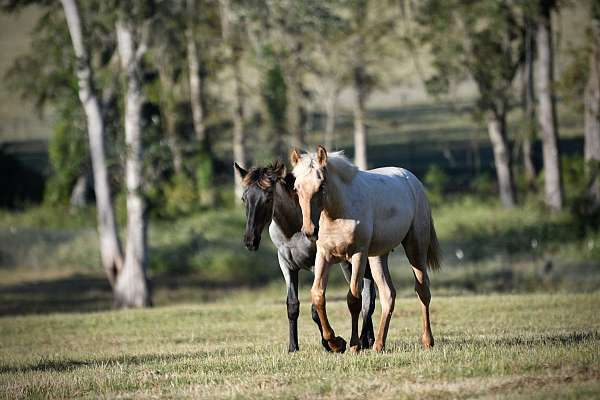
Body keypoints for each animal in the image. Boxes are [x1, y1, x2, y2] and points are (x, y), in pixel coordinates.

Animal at [234, 161, 376, 352]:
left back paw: (364, 339)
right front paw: (293, 347)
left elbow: (316, 308)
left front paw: (332, 344)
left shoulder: (318, 265)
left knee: (365, 295)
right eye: (244, 199)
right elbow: (292, 306)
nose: (250, 240)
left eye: (268, 198)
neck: (294, 230)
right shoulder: (287, 266)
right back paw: (368, 339)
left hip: (350, 262)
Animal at [290, 147, 440, 354]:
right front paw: (335, 343)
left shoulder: (358, 255)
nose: (310, 231)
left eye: (321, 186)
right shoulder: (324, 255)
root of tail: (412, 180)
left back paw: (427, 341)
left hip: (415, 248)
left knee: (422, 290)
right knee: (388, 294)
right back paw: (378, 345)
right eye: (297, 188)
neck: (338, 213)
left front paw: (354, 345)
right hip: (378, 257)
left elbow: (354, 298)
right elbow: (318, 296)